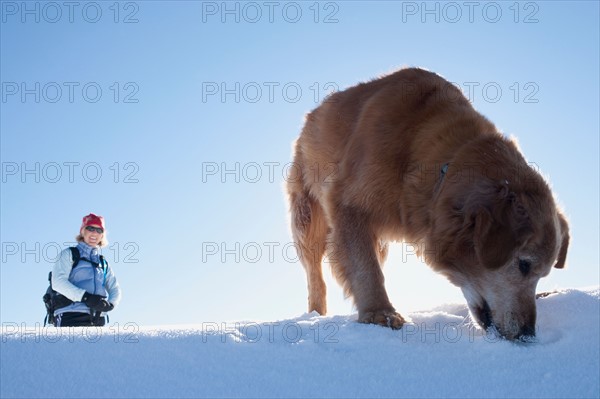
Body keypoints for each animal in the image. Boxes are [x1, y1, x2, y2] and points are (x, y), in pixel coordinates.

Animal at [288, 68, 568, 340]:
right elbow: (365, 267)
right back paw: (315, 315)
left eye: (542, 275)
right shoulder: (348, 205)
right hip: (307, 219)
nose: (528, 335)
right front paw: (380, 313)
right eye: (523, 265)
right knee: (315, 275)